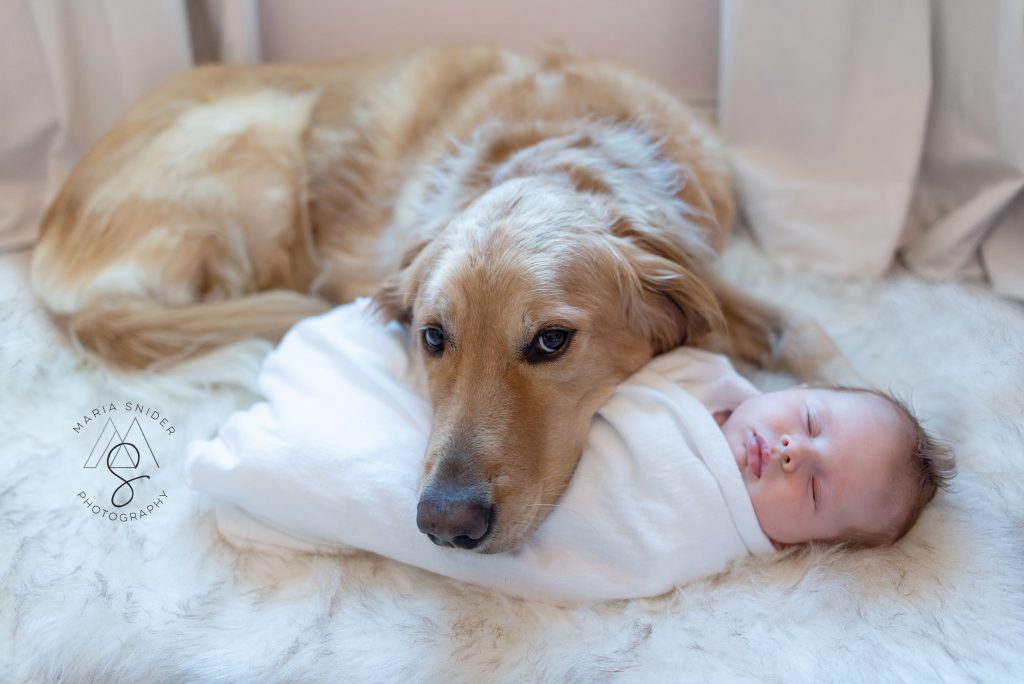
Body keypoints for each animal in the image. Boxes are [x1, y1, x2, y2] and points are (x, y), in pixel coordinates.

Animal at [32, 45, 843, 552]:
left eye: (551, 341)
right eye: (432, 337)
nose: (446, 525)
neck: (556, 147)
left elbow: (799, 327)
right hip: (263, 153)